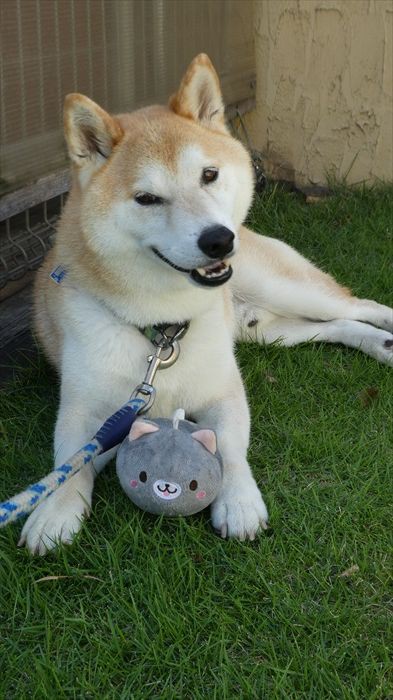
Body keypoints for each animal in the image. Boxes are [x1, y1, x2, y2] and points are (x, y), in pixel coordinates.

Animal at [22, 53, 392, 552]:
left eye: (209, 175)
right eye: (147, 198)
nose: (219, 239)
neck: (164, 330)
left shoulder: (224, 391)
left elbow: (231, 450)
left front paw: (238, 503)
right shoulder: (85, 412)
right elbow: (69, 465)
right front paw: (53, 513)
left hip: (284, 288)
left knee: (360, 305)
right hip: (268, 332)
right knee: (335, 327)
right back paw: (382, 346)